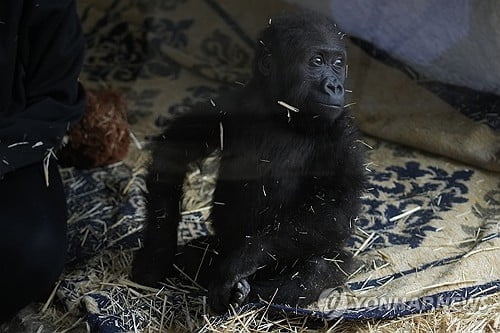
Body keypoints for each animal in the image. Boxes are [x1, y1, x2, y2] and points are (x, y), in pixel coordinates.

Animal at [132, 10, 368, 312]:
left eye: (338, 64)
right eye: (317, 61)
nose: (335, 86)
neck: (283, 113)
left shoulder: (343, 135)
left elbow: (336, 208)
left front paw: (243, 261)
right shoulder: (232, 102)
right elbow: (176, 147)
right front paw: (157, 252)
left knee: (316, 270)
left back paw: (249, 292)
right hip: (221, 245)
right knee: (194, 255)